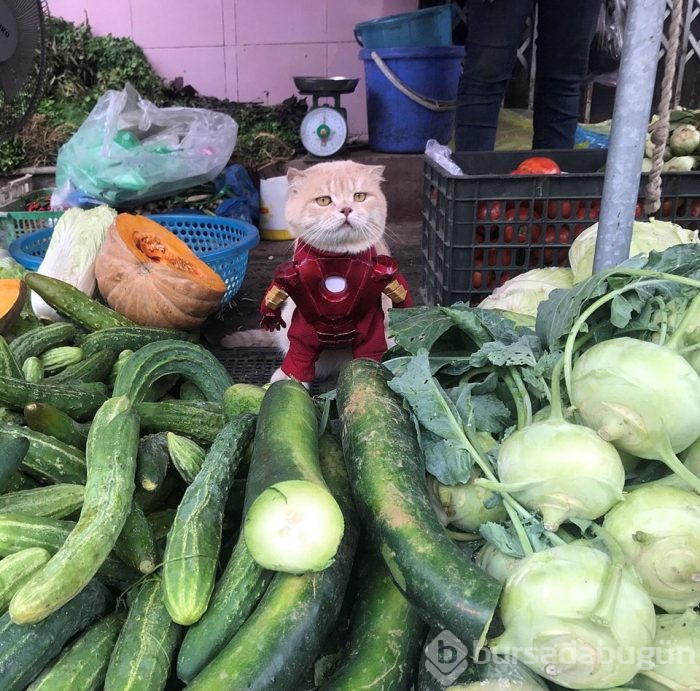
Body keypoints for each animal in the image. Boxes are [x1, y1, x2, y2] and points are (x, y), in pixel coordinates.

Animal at [220, 160, 410, 386]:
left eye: (359, 197)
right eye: (324, 201)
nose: (347, 209)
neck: (336, 260)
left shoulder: (374, 326)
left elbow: (371, 357)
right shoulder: (301, 327)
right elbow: (299, 355)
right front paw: (288, 378)